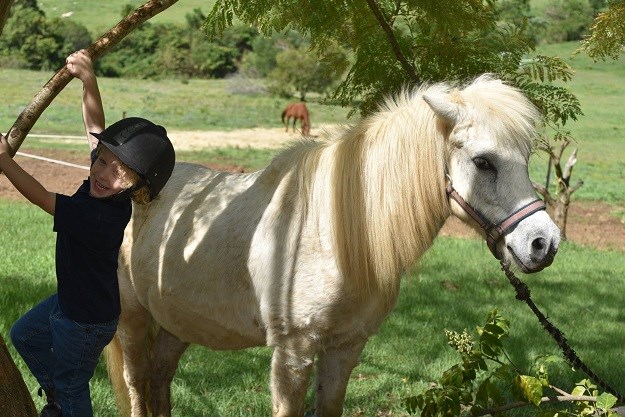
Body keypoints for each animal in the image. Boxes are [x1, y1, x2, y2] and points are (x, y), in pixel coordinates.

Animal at [107, 75, 560, 416]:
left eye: (526, 158)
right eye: (483, 162)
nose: (544, 243)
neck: (332, 233)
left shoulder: (346, 347)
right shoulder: (293, 351)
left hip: (176, 322)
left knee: (160, 378)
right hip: (132, 318)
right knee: (137, 384)